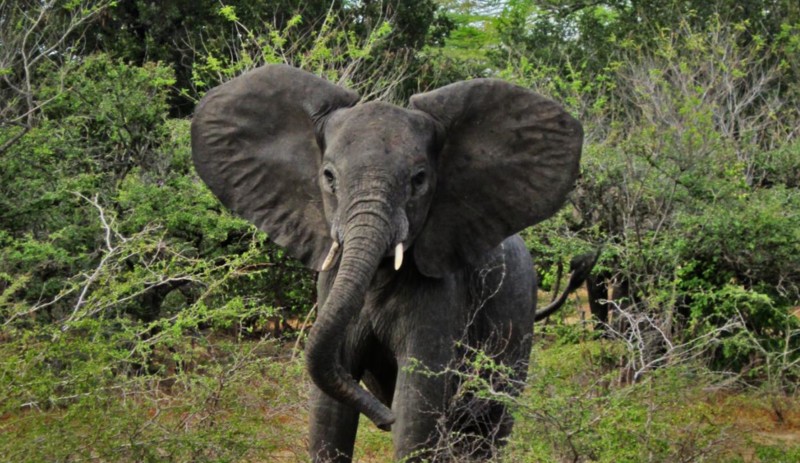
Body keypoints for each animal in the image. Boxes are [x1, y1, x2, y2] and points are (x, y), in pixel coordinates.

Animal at [191, 64, 584, 462]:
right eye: (328, 177)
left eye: (419, 180)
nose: (383, 418)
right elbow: (328, 417)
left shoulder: (442, 294)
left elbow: (415, 414)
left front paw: (400, 417)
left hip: (518, 322)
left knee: (488, 428)